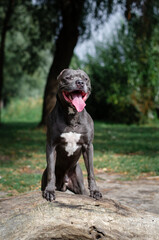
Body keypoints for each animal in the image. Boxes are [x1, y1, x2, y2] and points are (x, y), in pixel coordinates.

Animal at [41, 68, 102, 202]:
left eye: (85, 78)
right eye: (68, 78)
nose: (80, 82)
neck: (72, 116)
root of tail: (64, 183)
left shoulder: (88, 146)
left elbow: (91, 172)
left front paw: (95, 191)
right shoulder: (51, 145)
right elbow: (52, 172)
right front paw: (49, 191)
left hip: (78, 180)